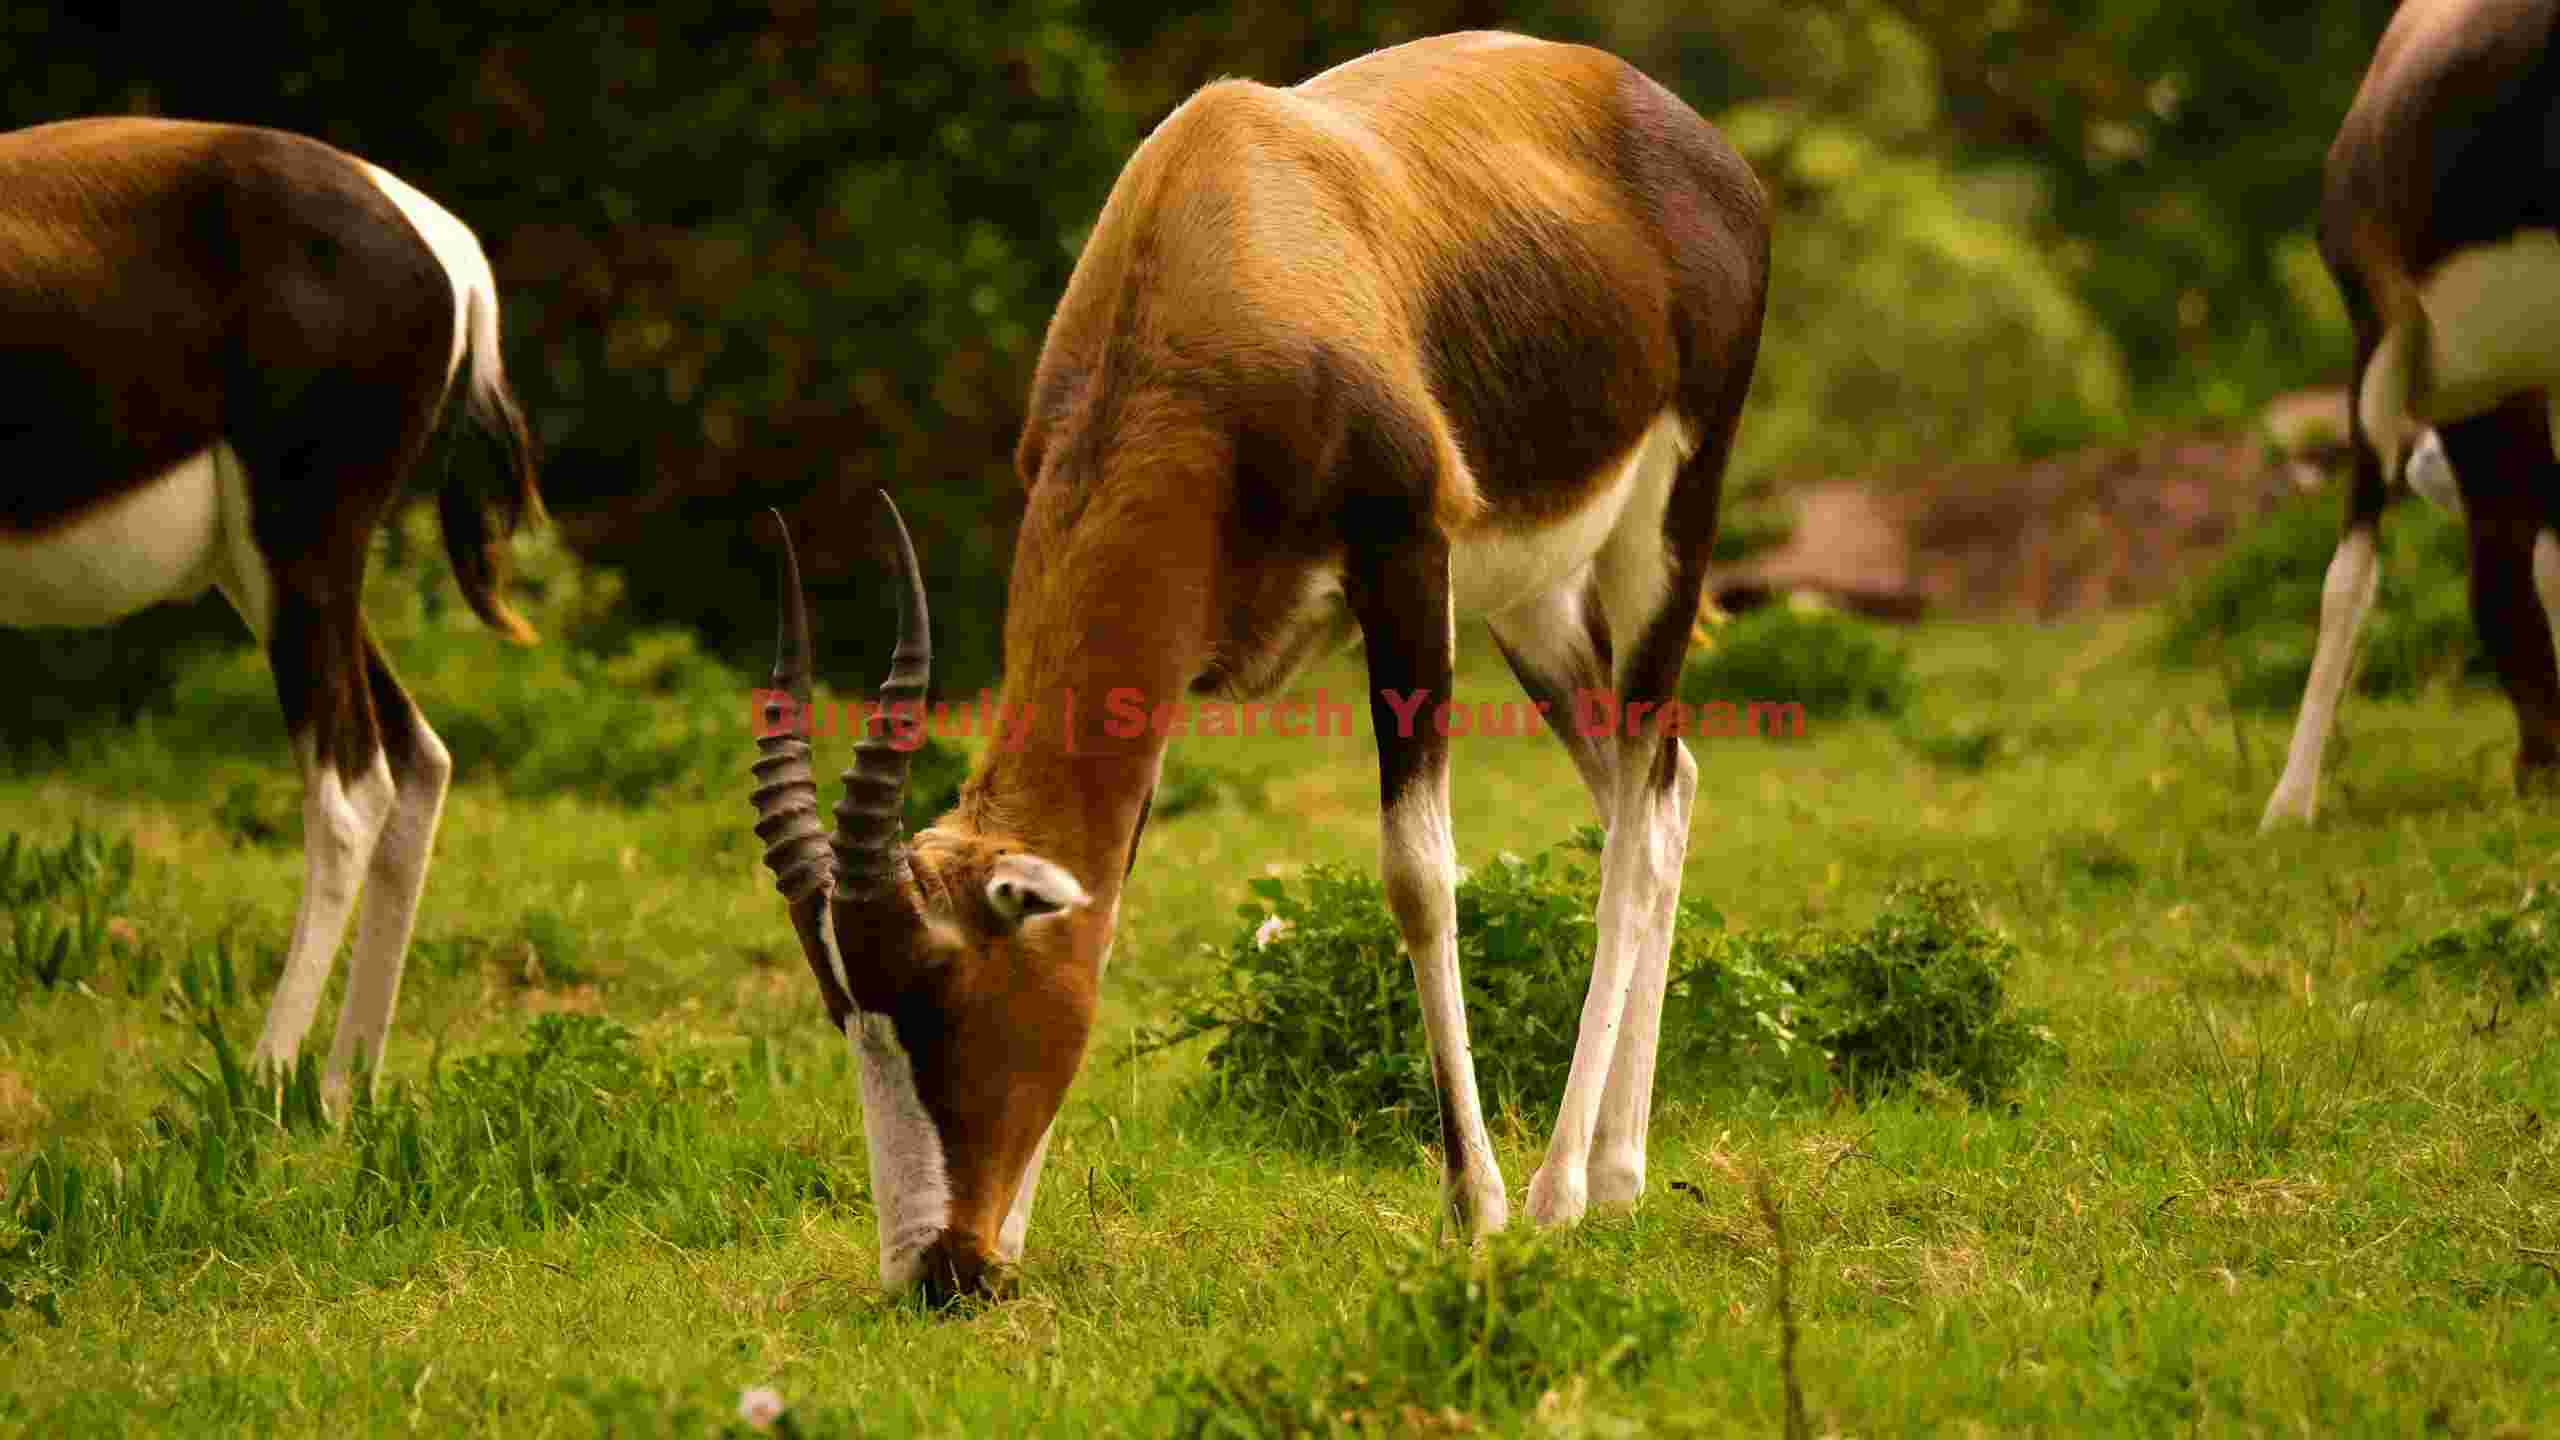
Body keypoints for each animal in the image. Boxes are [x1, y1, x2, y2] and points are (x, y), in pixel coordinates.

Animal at [0, 118, 541, 1096]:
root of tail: (446, 244)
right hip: (275, 575)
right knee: (420, 757)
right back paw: (343, 1095)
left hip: (296, 561)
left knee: (352, 793)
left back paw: (261, 1090)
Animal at [750, 31, 1768, 1302]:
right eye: (844, 1010)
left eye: (941, 991)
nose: (942, 1272)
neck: (1224, 230)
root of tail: (1680, 129)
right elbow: (1108, 900)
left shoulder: (1403, 561)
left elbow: (1417, 877)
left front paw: (1473, 1208)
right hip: (1526, 599)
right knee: (1664, 788)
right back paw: (1621, 1175)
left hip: (1661, 527)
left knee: (1634, 816)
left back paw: (1562, 1190)